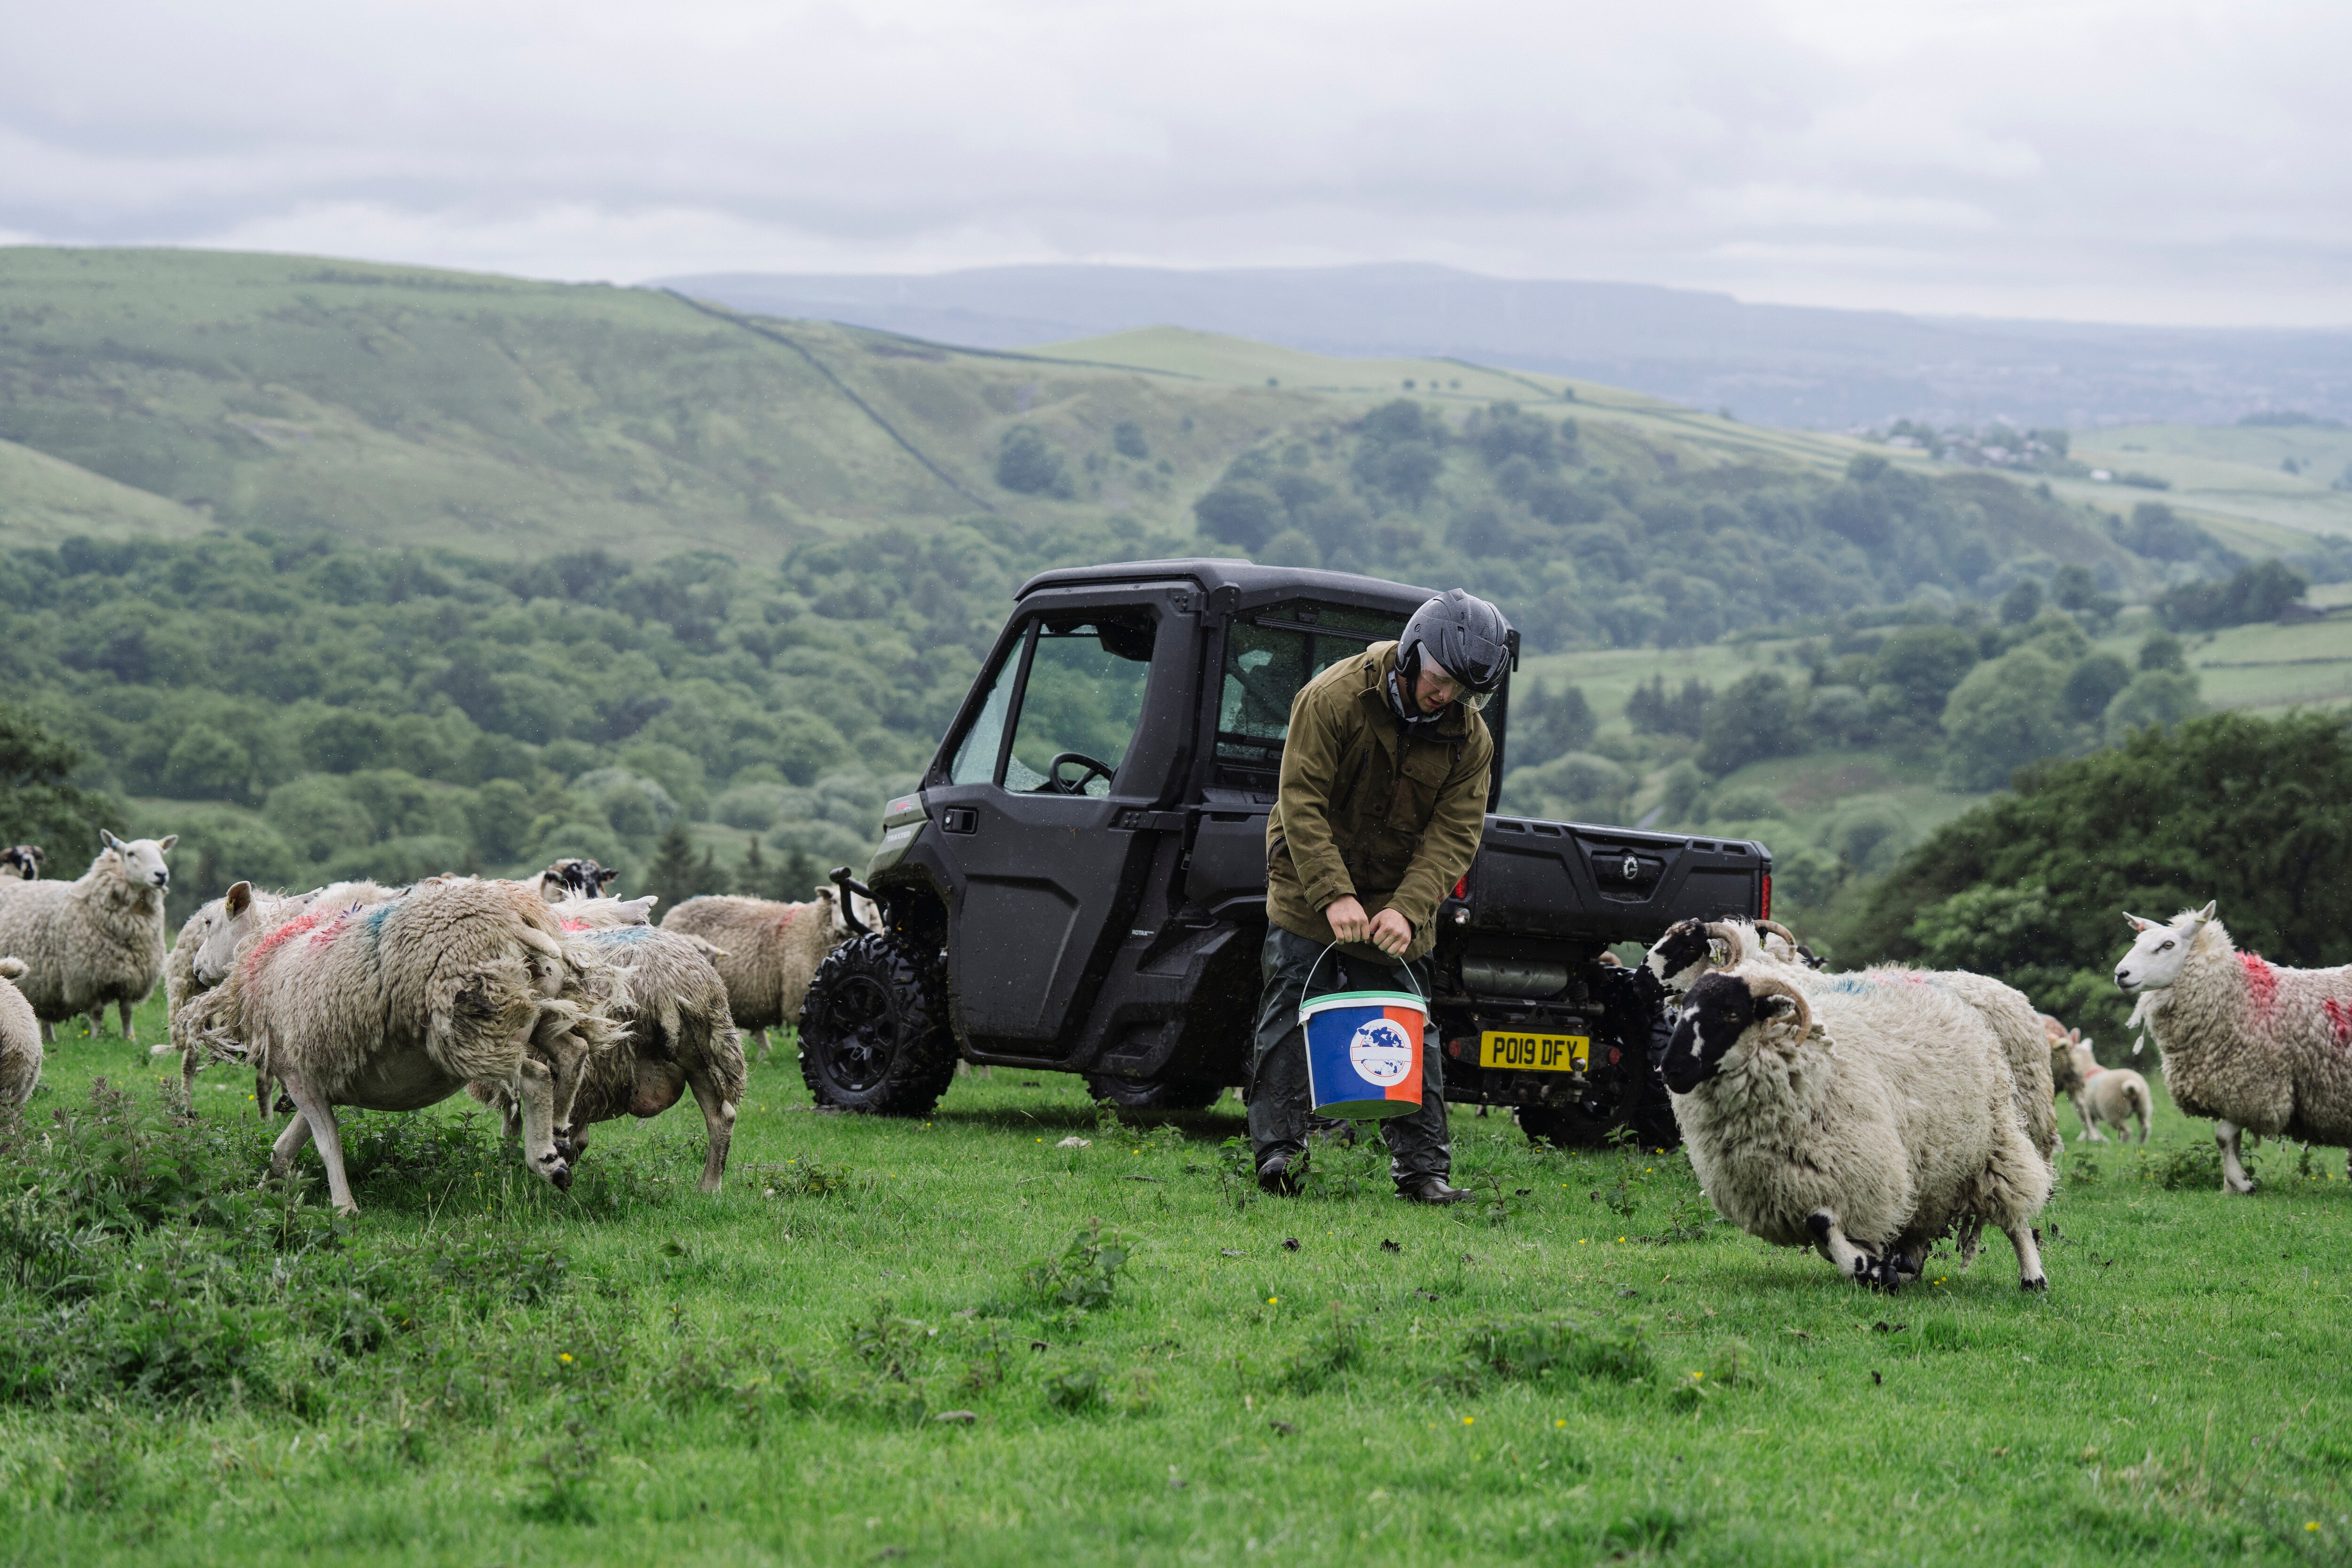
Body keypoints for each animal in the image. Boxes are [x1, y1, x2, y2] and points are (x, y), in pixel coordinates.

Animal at [0, 831, 175, 1042]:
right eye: (131, 854)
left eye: (161, 852)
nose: (162, 875)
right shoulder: (89, 976)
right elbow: (98, 1012)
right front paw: (96, 1038)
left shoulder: (130, 976)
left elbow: (126, 1012)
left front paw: (130, 1039)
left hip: (43, 982)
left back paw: (49, 1039)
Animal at [187, 876, 621, 1213]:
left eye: (209, 921)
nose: (195, 968)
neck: (268, 948)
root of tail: (518, 921)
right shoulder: (321, 1081)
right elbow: (284, 1148)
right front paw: (259, 1195)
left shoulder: (301, 1076)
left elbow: (329, 1147)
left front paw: (344, 1208)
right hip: (531, 1009)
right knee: (573, 1051)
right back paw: (560, 1131)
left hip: (472, 1025)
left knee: (536, 1076)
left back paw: (546, 1159)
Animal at [1664, 962, 2052, 1291]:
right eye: (1684, 1010)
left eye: (1732, 1013)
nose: (1671, 1068)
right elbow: (1825, 1234)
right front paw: (1880, 1266)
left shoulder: (1855, 1175)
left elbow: (1821, 1223)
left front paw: (1869, 1268)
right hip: (1929, 1169)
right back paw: (1907, 1266)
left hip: (1993, 1144)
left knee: (2014, 1213)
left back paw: (2033, 1278)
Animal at [2113, 902, 2352, 1193]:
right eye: (2137, 941)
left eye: (2168, 945)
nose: (2121, 975)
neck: (2234, 996)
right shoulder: (2232, 1093)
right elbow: (2232, 1142)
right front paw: (2231, 1188)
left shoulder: (2255, 1090)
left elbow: (2223, 1137)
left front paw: (2241, 1182)